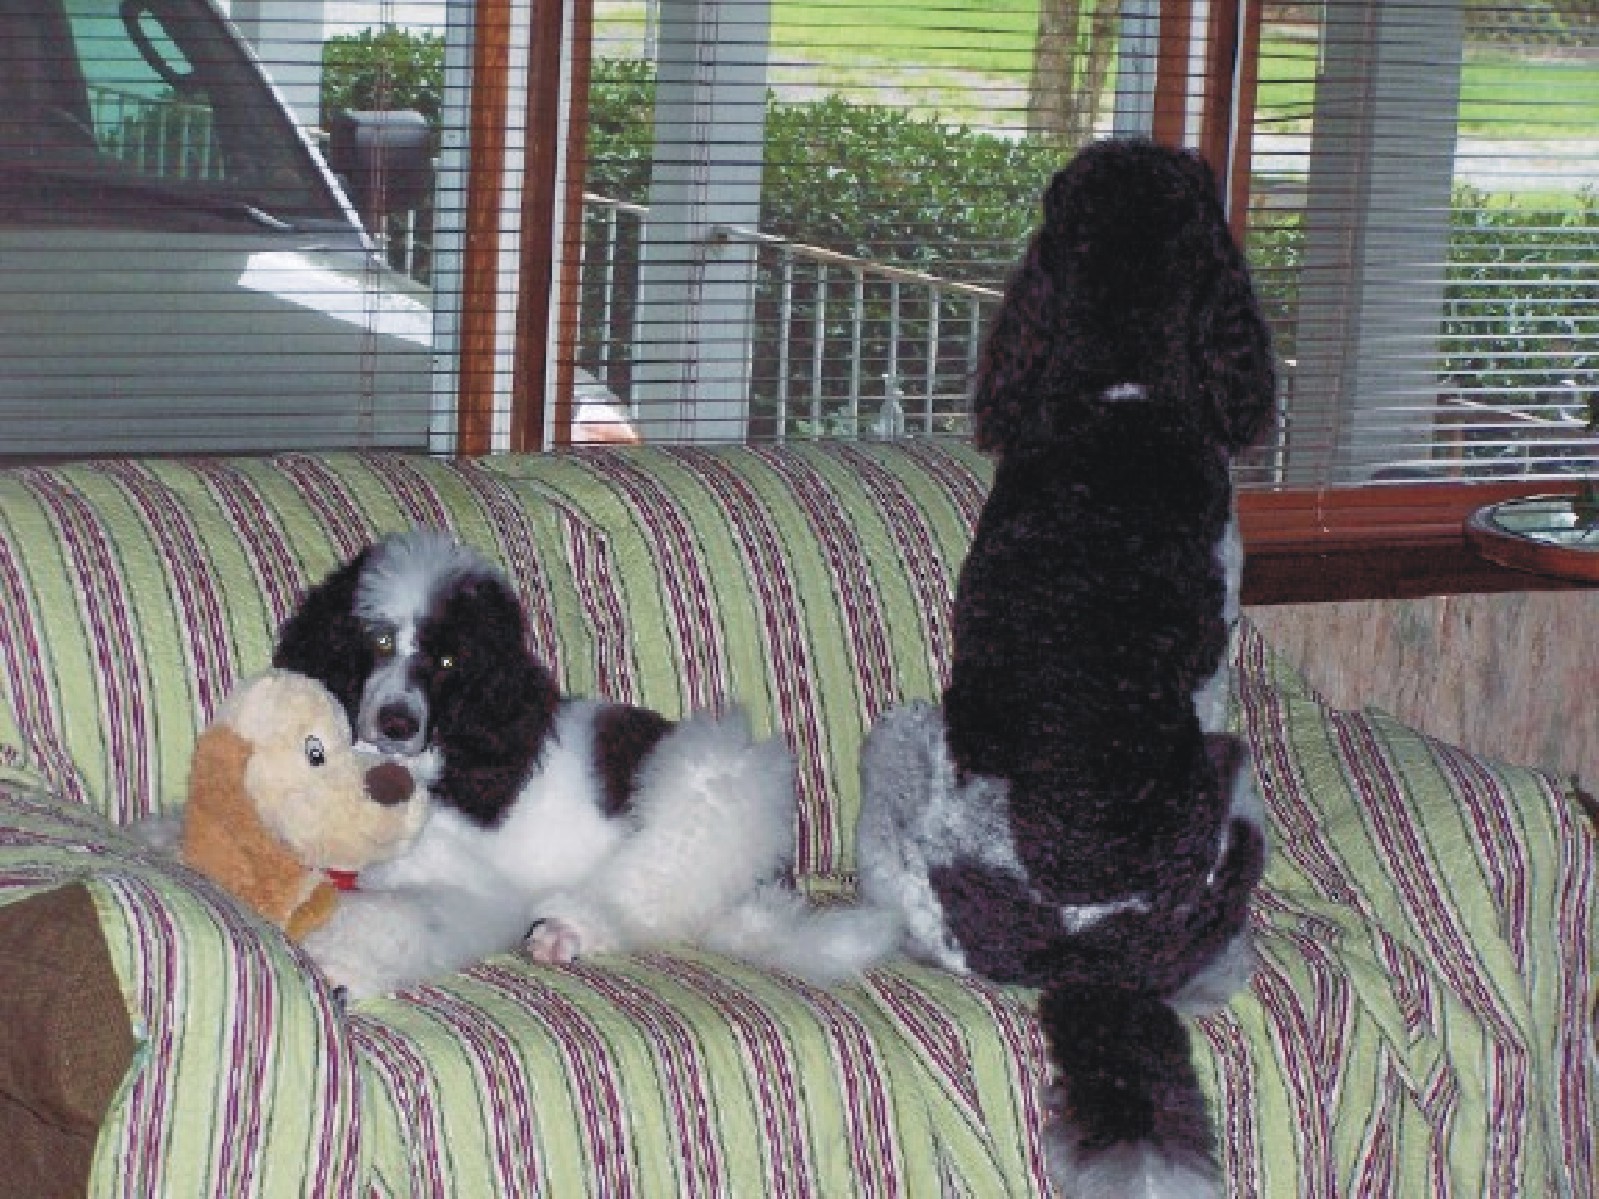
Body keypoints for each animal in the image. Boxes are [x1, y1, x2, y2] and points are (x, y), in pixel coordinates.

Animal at [273, 527, 896, 1000]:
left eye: (450, 661)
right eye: (378, 640)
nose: (397, 722)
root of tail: (772, 878)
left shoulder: (471, 889)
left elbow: (396, 914)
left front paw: (341, 965)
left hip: (716, 773)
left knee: (648, 898)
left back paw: (564, 928)